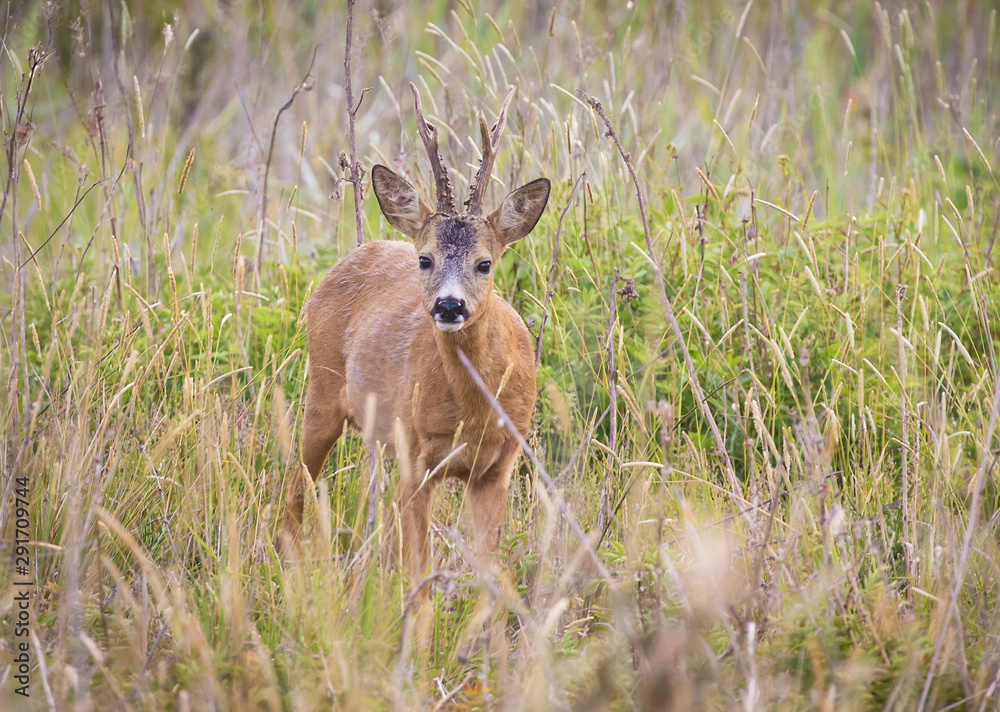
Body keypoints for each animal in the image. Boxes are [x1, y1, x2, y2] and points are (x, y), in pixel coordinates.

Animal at [282, 83, 550, 577]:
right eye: (425, 259)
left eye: (485, 263)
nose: (449, 305)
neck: (475, 414)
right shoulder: (416, 458)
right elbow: (420, 570)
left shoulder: (499, 466)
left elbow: (492, 575)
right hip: (322, 394)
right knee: (297, 487)